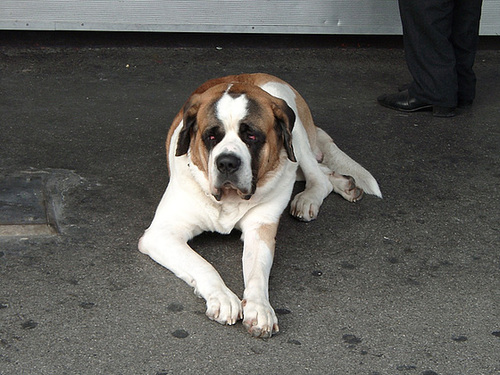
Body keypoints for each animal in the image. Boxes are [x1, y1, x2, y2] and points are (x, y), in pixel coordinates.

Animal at [139, 72, 380, 338]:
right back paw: (343, 182)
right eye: (211, 136)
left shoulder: (260, 228)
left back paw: (310, 198)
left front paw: (260, 308)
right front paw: (223, 297)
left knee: (316, 175)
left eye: (251, 136)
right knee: (321, 170)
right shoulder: (161, 235)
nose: (227, 163)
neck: (229, 201)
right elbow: (202, 264)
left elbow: (257, 273)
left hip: (292, 124)